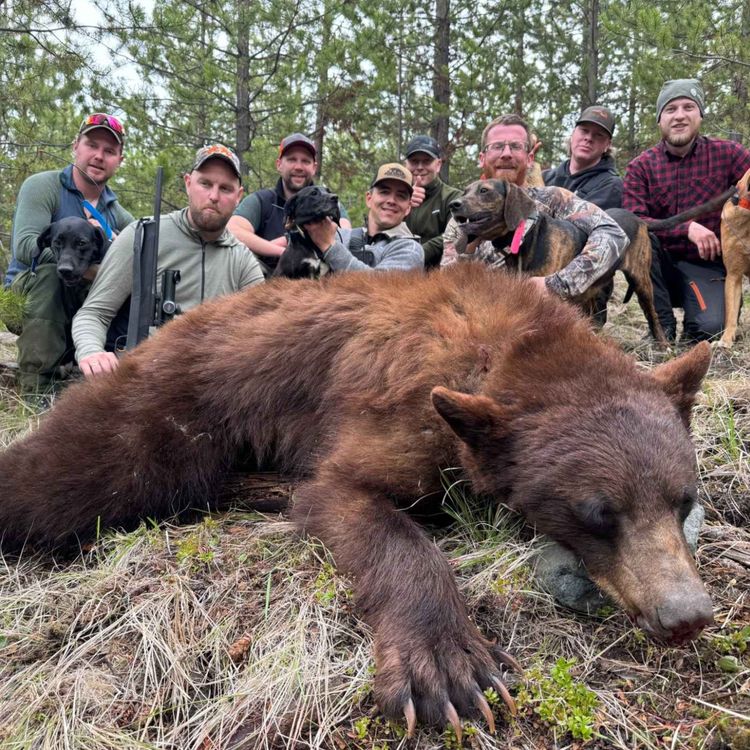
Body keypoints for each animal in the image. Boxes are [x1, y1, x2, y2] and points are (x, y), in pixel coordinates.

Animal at [0, 262, 716, 736]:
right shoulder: (396, 414)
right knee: (78, 471)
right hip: (175, 411)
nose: (686, 614)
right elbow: (353, 500)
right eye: (598, 512)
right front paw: (447, 670)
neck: (501, 352)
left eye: (683, 500)